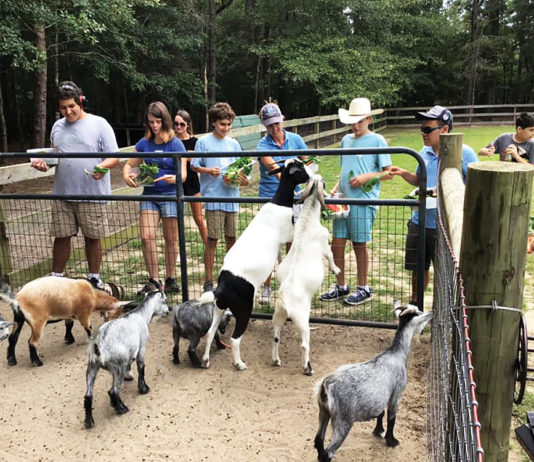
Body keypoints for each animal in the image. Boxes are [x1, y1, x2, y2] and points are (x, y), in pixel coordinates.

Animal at [84, 290, 169, 428]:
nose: (167, 311)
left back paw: (89, 421)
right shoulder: (141, 348)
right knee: (113, 391)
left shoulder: (131, 350)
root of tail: (99, 344)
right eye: (165, 300)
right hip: (118, 366)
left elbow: (132, 363)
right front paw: (144, 389)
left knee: (88, 395)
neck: (141, 315)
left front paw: (129, 376)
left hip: (92, 366)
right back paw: (121, 408)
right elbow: (141, 368)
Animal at [201, 157, 312, 370]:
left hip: (219, 308)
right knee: (235, 338)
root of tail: (223, 287)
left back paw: (205, 361)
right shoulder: (289, 234)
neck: (279, 202)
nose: (310, 176)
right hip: (243, 309)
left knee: (210, 332)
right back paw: (239, 364)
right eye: (301, 169)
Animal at [274, 174, 342, 376]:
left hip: (277, 316)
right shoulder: (324, 242)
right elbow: (331, 255)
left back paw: (276, 360)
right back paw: (308, 368)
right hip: (302, 319)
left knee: (276, 337)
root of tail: (284, 301)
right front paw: (336, 270)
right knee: (304, 344)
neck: (307, 223)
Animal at [314, 302, 436, 460]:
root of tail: (326, 385)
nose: (431, 313)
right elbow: (392, 418)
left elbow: (381, 413)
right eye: (419, 313)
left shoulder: (381, 396)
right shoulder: (396, 394)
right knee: (329, 451)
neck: (396, 353)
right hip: (343, 420)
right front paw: (391, 440)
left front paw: (378, 431)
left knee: (318, 439)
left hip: (323, 412)